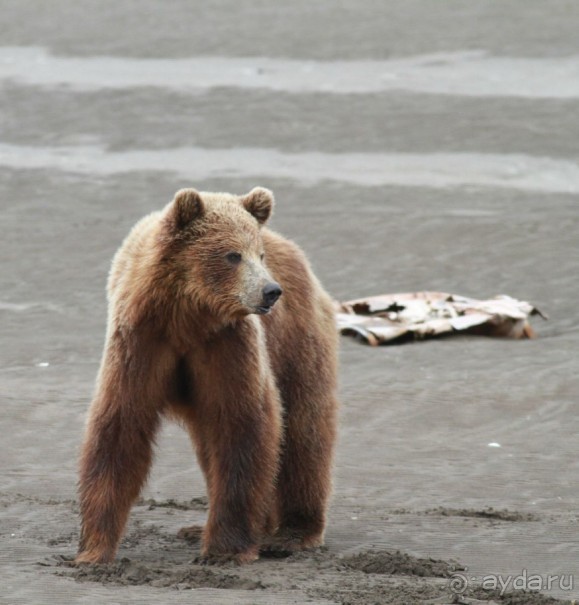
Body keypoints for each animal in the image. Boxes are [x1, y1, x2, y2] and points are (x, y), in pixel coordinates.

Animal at [76, 186, 340, 564]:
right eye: (233, 255)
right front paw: (94, 549)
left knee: (304, 431)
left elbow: (243, 425)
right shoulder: (141, 342)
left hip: (297, 341)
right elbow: (120, 426)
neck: (188, 315)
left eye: (259, 254)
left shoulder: (227, 345)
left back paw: (292, 533)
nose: (271, 291)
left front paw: (224, 549)